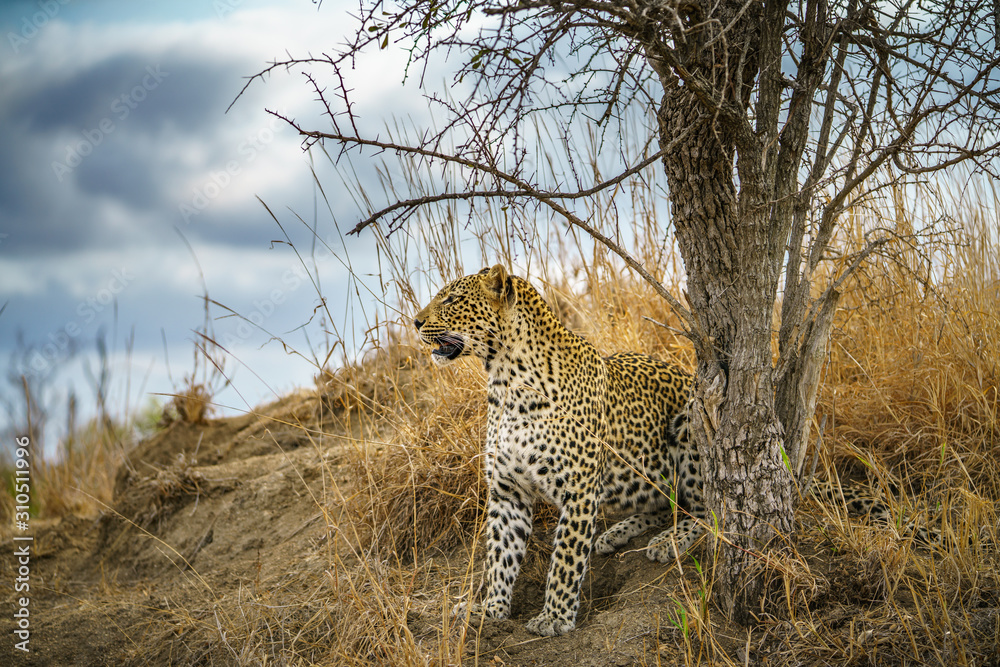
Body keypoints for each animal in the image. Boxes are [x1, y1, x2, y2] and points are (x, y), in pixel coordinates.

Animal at [413, 264, 702, 636]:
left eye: (452, 299)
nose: (416, 322)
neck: (505, 383)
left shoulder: (578, 490)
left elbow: (566, 557)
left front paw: (554, 617)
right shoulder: (507, 492)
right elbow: (500, 556)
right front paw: (491, 609)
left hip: (690, 426)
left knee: (710, 512)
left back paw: (667, 542)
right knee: (665, 505)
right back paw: (616, 534)